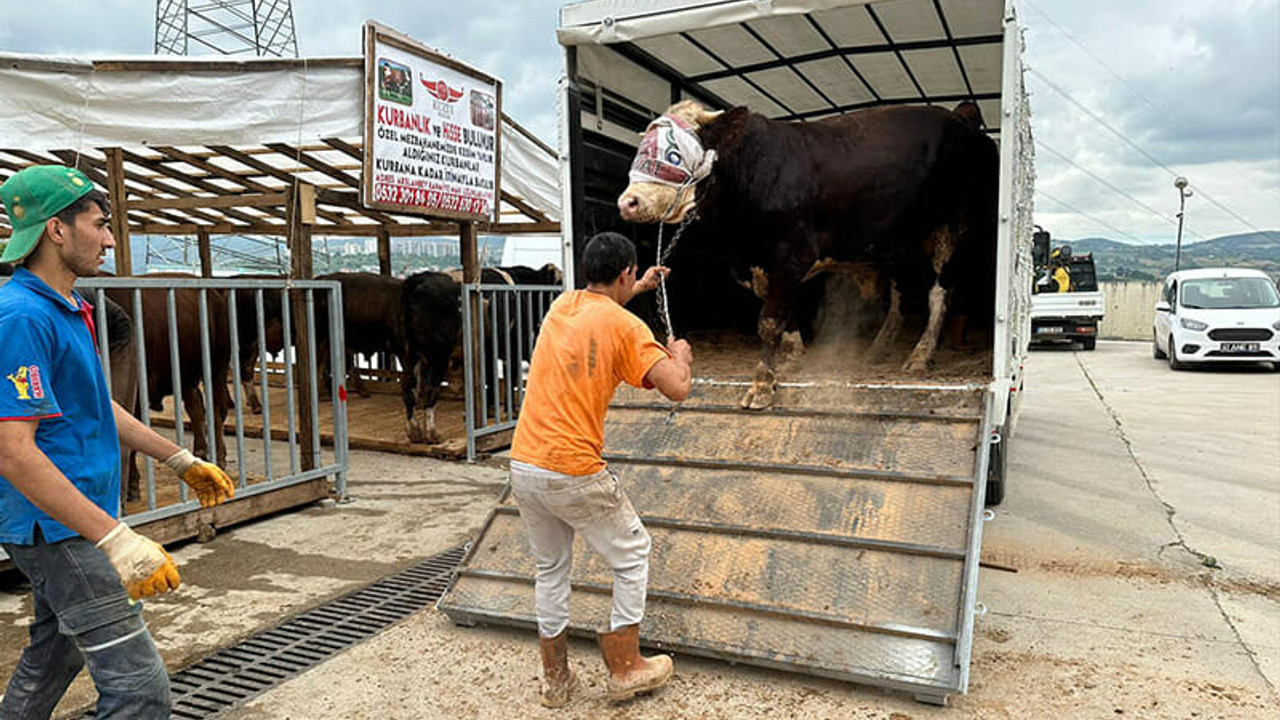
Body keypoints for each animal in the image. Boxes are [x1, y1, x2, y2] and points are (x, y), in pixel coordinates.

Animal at [616, 99, 998, 409]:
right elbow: (786, 315)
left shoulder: (792, 253)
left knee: (938, 293)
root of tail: (961, 118)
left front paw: (762, 384)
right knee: (901, 297)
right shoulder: (762, 266)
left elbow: (769, 321)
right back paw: (877, 350)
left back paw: (920, 354)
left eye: (674, 153)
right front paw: (792, 357)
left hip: (951, 227)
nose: (628, 202)